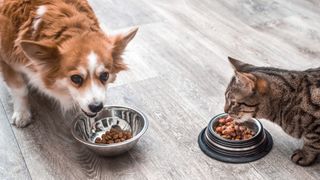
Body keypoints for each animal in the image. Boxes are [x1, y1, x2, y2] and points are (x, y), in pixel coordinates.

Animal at [0, 0, 136, 127]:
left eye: (104, 76)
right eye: (76, 78)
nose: (97, 107)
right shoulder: (6, 62)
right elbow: (20, 89)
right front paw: (22, 113)